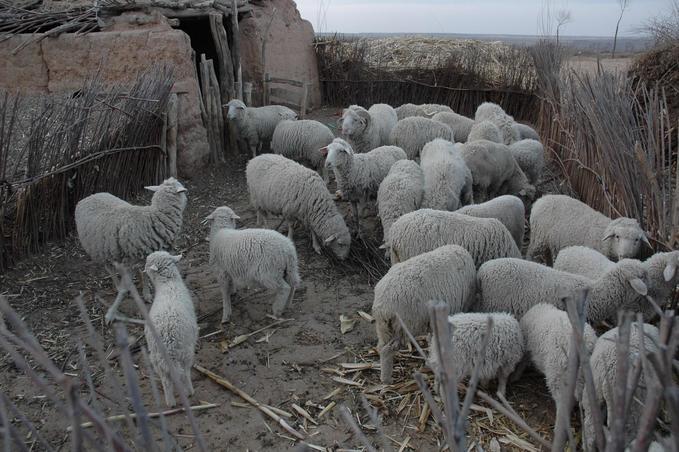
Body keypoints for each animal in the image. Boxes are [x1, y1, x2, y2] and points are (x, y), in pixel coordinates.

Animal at [74, 177, 189, 322]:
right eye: (183, 191)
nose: (187, 199)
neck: (155, 218)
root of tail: (88, 197)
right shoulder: (131, 261)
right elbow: (124, 289)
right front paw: (111, 313)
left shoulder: (146, 256)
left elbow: (145, 274)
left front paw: (146, 294)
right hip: (99, 250)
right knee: (109, 268)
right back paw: (117, 284)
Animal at [143, 252, 197, 408]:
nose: (143, 269)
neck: (168, 284)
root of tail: (168, 342)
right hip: (184, 353)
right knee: (184, 373)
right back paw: (189, 392)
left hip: (156, 357)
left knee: (166, 380)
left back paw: (170, 403)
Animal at [370, 245, 476, 384]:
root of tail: (383, 305)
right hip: (404, 325)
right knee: (387, 350)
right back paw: (387, 380)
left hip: (383, 327)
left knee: (381, 348)